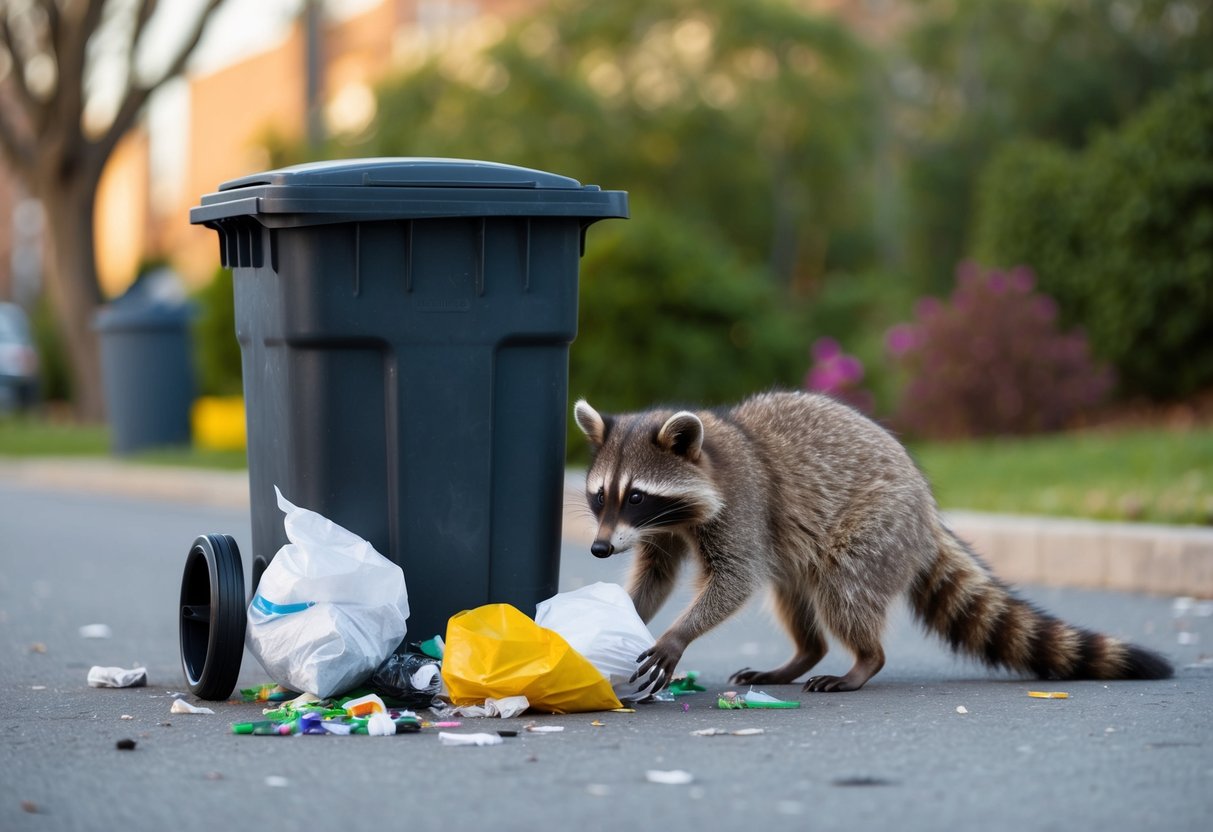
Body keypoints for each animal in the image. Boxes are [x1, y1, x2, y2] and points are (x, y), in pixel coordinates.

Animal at [573, 391, 1173, 692]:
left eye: (636, 496)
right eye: (601, 497)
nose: (599, 551)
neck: (711, 456)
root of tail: (928, 511)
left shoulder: (743, 504)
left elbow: (736, 578)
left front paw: (678, 634)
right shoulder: (665, 528)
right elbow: (657, 573)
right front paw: (627, 610)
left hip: (877, 529)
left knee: (844, 591)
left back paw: (864, 660)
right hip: (809, 549)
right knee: (794, 593)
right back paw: (804, 653)